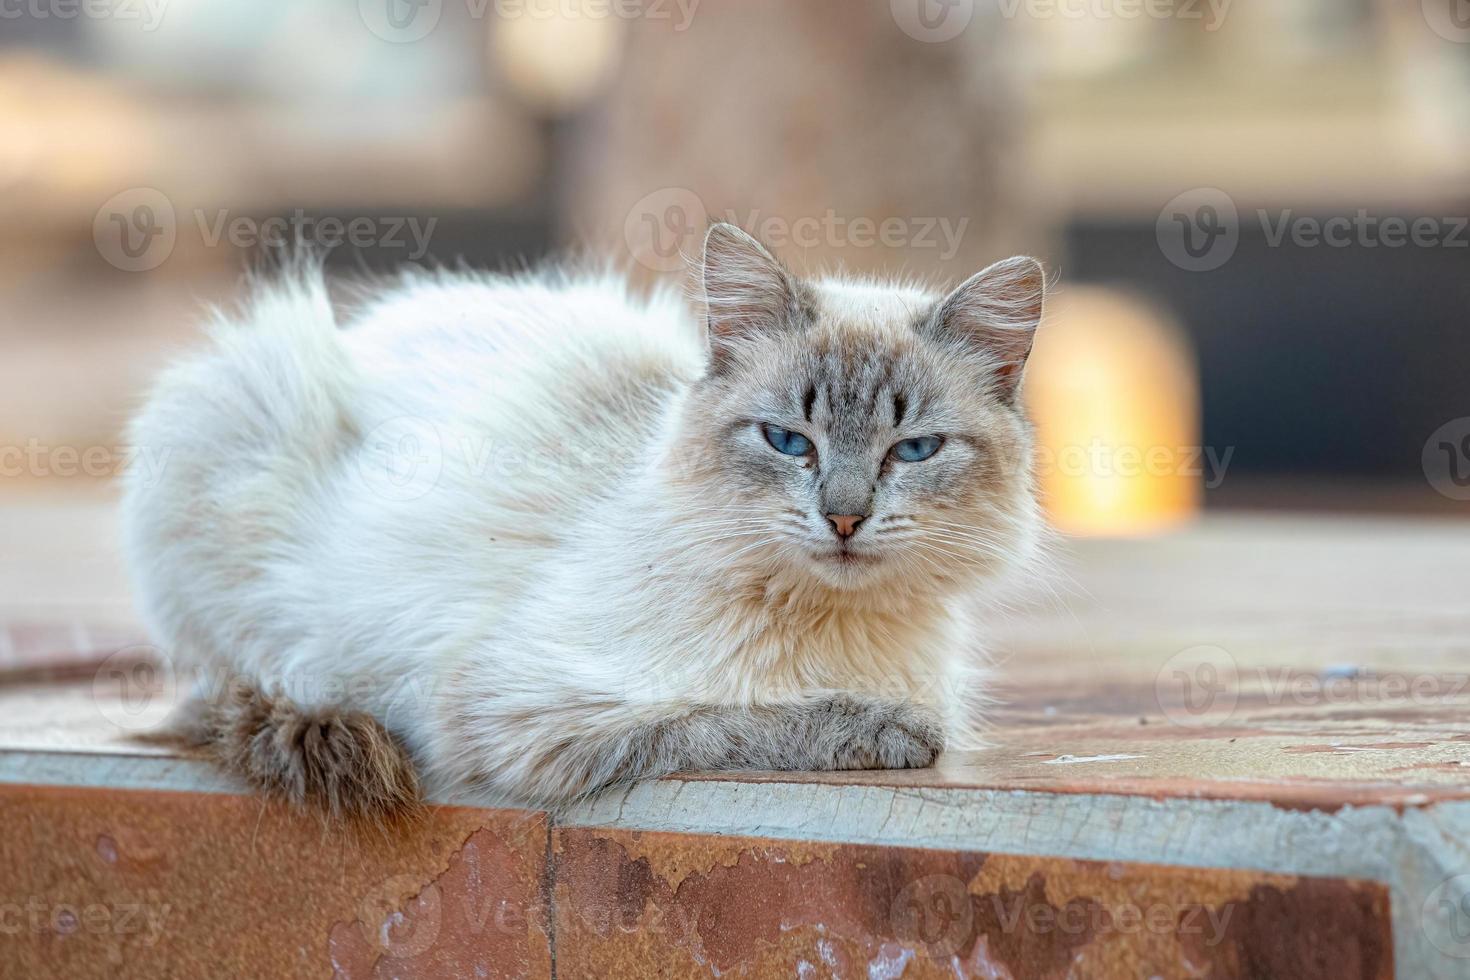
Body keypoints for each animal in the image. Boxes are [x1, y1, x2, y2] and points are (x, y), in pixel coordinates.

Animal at [123, 226, 1046, 816]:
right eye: (789, 440)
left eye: (913, 450)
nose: (845, 518)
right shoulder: (529, 713)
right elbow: (732, 721)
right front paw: (883, 729)